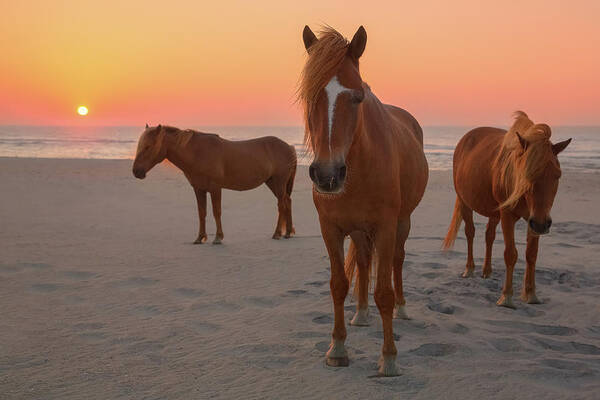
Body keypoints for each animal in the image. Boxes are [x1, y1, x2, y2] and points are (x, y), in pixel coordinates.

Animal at [134, 125, 298, 244]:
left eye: (148, 146)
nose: (136, 171)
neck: (198, 152)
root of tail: (289, 147)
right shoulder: (199, 189)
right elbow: (202, 213)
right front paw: (200, 238)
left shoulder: (215, 188)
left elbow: (216, 212)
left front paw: (218, 237)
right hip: (272, 183)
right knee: (287, 201)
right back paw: (288, 232)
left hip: (279, 182)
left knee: (281, 205)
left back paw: (277, 233)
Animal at [298, 25, 428, 376]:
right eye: (309, 96)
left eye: (357, 97)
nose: (327, 174)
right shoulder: (330, 229)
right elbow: (338, 284)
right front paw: (338, 349)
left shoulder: (385, 227)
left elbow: (383, 290)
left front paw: (389, 358)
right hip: (358, 231)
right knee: (365, 261)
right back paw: (361, 313)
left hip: (402, 224)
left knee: (396, 261)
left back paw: (402, 309)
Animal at [446, 112, 572, 310]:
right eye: (528, 174)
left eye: (557, 175)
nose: (543, 224)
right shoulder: (508, 216)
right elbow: (511, 254)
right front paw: (506, 297)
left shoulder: (532, 219)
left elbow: (531, 254)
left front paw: (531, 294)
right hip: (465, 202)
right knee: (470, 233)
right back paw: (470, 269)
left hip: (495, 212)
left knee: (489, 235)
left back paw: (487, 271)